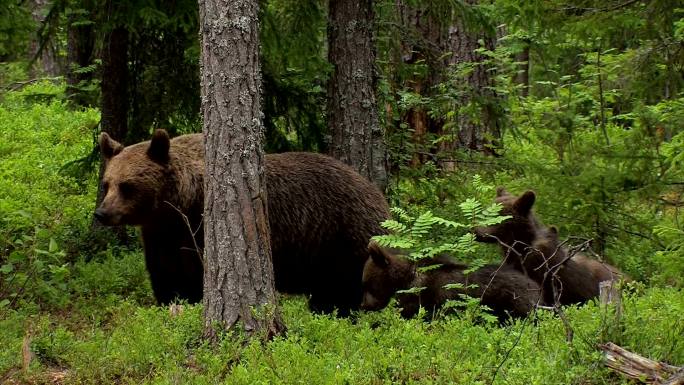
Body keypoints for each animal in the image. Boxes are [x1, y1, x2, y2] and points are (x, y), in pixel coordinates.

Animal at [95, 130, 390, 316]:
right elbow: (167, 279)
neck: (175, 208)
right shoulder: (161, 237)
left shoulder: (197, 232)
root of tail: (378, 194)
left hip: (341, 240)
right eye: (107, 184)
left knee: (345, 291)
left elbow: (196, 280)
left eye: (128, 186)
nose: (101, 213)